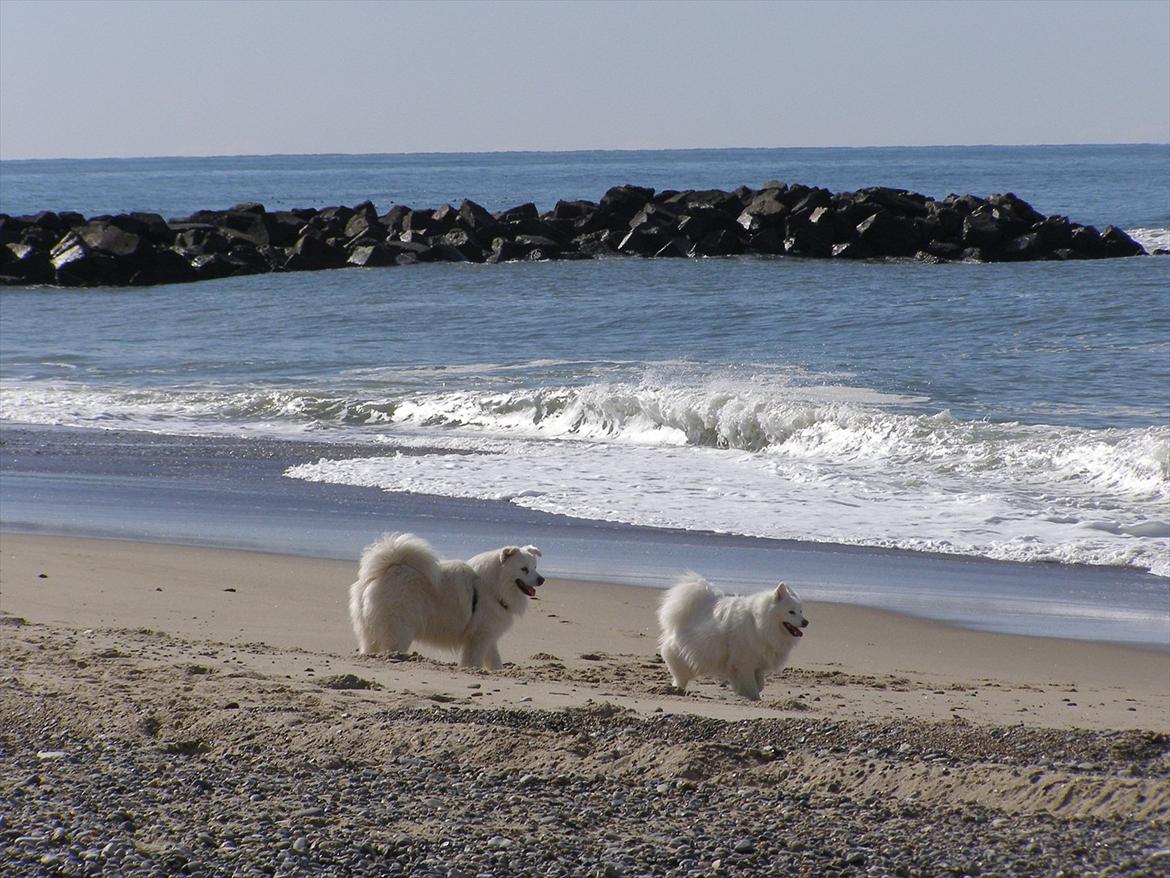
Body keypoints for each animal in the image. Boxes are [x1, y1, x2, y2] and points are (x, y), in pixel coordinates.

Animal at [348, 533, 545, 669]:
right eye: (524, 569)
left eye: (535, 567)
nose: (542, 579)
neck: (493, 585)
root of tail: (385, 570)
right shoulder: (479, 637)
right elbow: (473, 661)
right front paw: (470, 669)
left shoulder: (488, 637)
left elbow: (495, 661)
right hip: (399, 629)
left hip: (370, 631)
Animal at [655, 573, 809, 707]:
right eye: (791, 612)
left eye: (801, 611)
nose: (805, 622)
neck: (760, 623)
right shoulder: (744, 663)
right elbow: (752, 685)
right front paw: (753, 697)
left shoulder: (757, 663)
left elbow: (759, 684)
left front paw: (745, 692)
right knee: (680, 674)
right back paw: (677, 690)